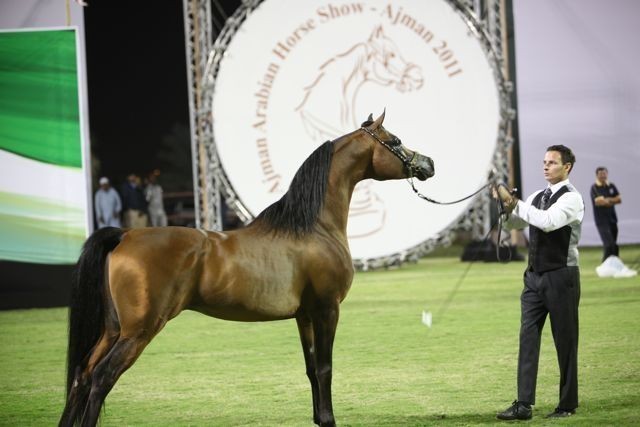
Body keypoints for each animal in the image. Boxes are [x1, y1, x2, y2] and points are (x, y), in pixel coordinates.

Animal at [59, 112, 434, 427]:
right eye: (395, 140)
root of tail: (125, 235)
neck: (312, 227)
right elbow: (326, 367)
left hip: (113, 329)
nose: (428, 163)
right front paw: (329, 420)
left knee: (82, 374)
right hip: (137, 331)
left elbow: (311, 368)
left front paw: (318, 418)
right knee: (102, 378)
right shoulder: (327, 309)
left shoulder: (305, 315)